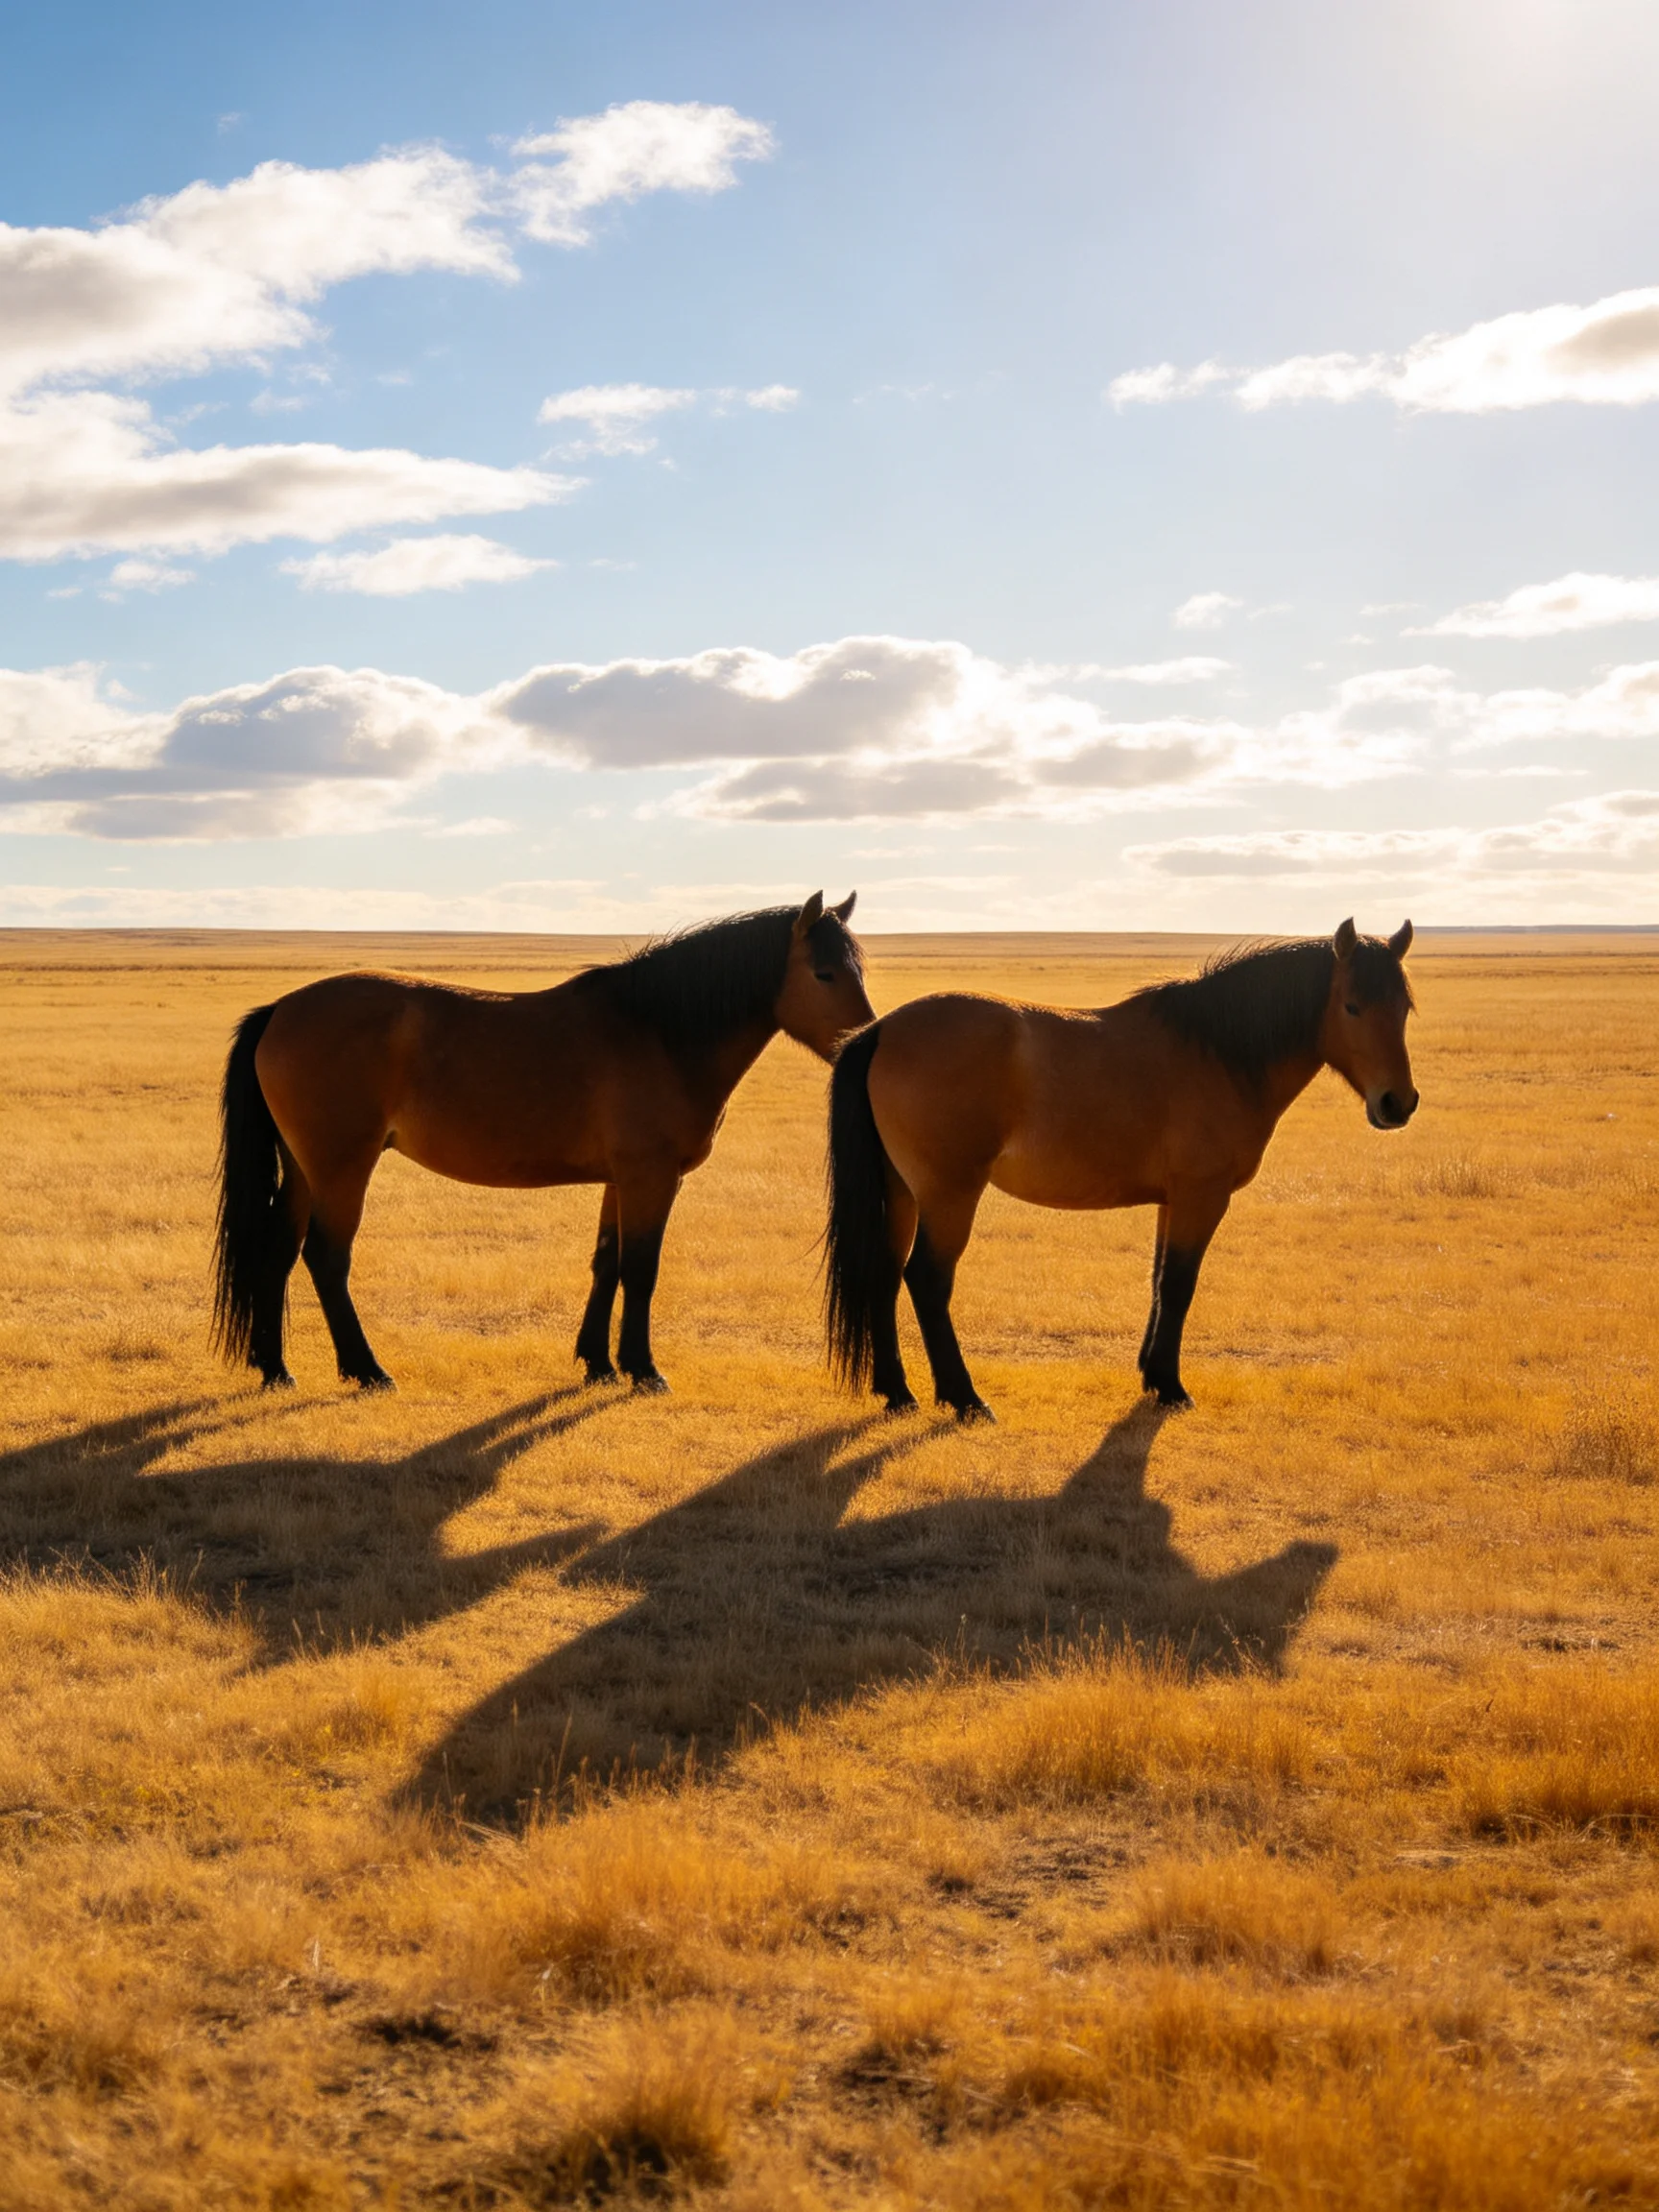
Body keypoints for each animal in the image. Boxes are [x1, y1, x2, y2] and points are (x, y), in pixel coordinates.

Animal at [214, 894, 872, 1395]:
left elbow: (607, 1262)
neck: (659, 1032)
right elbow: (641, 1267)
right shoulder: (651, 1177)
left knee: (277, 1251)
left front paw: (599, 1363)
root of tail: (282, 1009)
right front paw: (643, 1369)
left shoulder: (621, 1180)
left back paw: (276, 1369)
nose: (862, 1043)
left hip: (304, 1170)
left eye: (857, 970)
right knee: (326, 1257)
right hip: (341, 1168)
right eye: (824, 973)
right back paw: (366, 1369)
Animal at [825, 918, 1417, 1420]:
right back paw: (964, 1397)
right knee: (927, 1279)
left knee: (883, 1275)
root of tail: (883, 1030)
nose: (1398, 1103)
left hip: (902, 1191)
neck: (1219, 1053)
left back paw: (898, 1393)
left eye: (1405, 1008)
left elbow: (1159, 1282)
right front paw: (1171, 1388)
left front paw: (1153, 1376)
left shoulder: (1172, 1201)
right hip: (949, 1194)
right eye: (1352, 1006)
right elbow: (1179, 1285)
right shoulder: (1202, 1196)